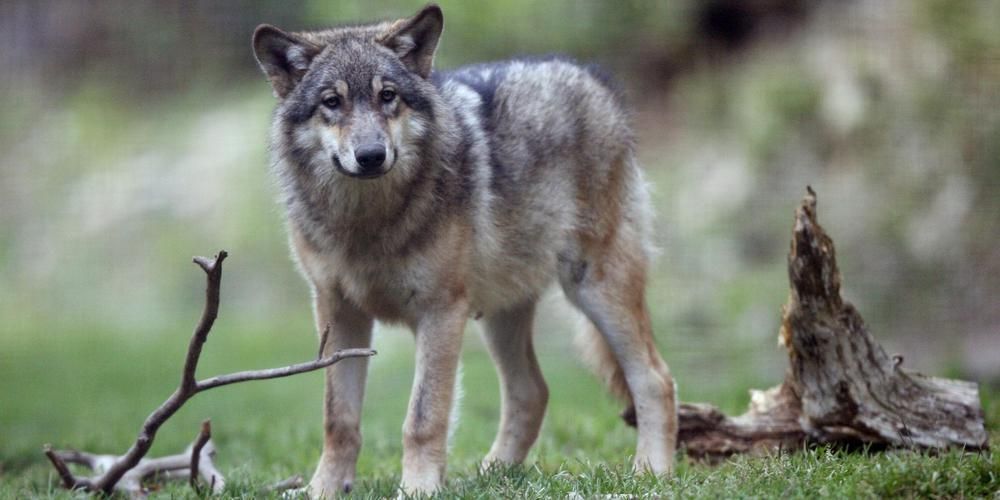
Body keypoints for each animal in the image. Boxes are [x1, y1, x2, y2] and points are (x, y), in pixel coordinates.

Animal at [252, 4, 678, 496]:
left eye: (388, 96)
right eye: (331, 102)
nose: (372, 155)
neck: (367, 222)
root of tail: (591, 75)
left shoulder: (441, 312)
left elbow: (423, 417)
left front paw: (418, 489)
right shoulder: (338, 313)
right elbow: (338, 419)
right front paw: (323, 489)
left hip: (594, 289)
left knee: (655, 379)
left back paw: (652, 471)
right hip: (500, 314)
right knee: (533, 391)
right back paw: (491, 473)